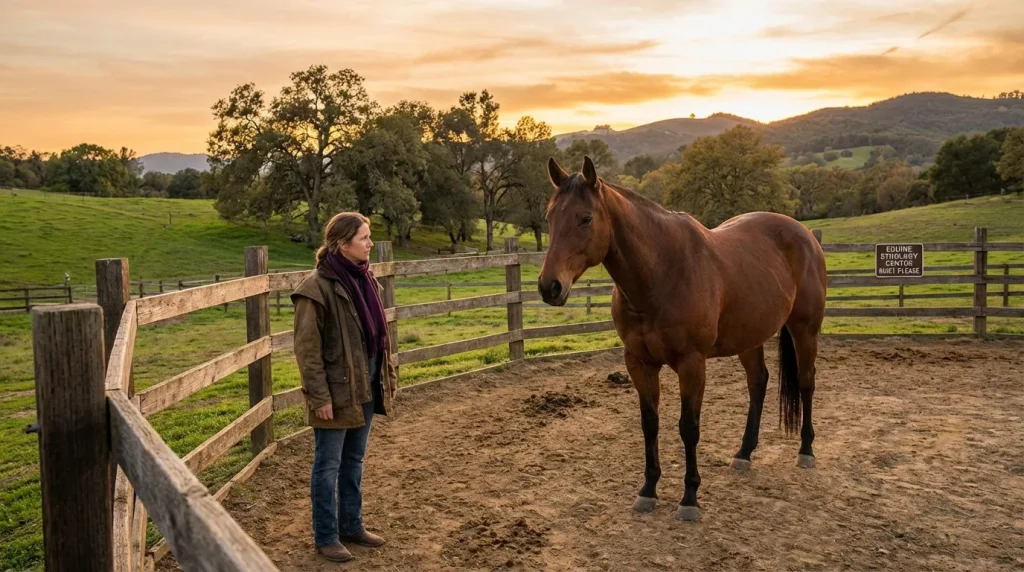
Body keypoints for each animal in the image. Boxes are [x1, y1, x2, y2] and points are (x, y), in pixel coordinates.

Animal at [537, 156, 827, 521]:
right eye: (550, 217)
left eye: (585, 218)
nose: (549, 286)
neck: (661, 273)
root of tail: (806, 235)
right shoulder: (639, 363)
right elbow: (650, 424)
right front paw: (648, 491)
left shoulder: (692, 364)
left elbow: (688, 427)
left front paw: (689, 498)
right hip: (749, 338)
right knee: (758, 382)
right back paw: (744, 453)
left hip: (805, 330)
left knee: (806, 383)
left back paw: (806, 451)